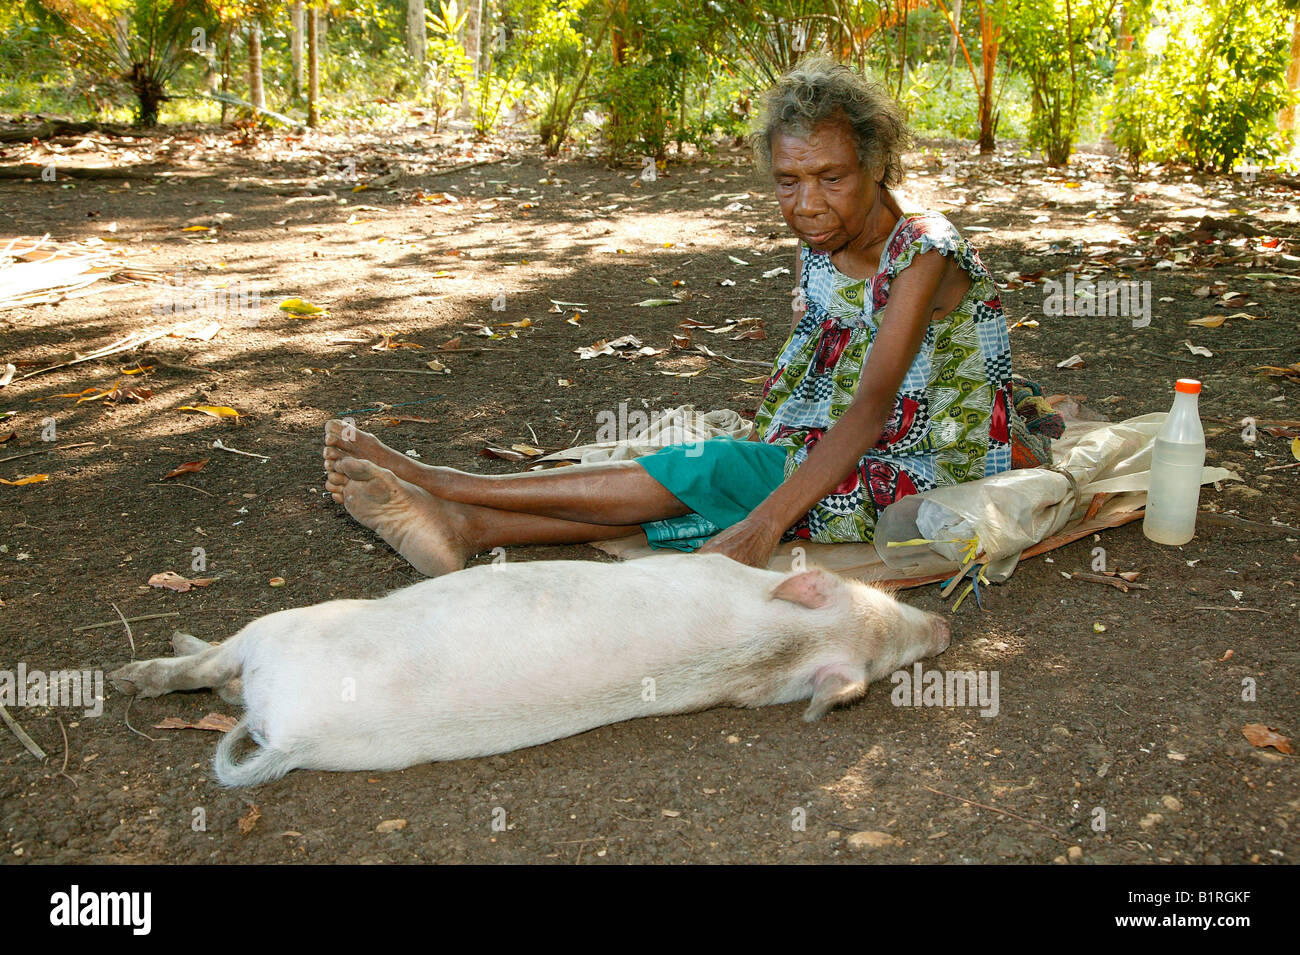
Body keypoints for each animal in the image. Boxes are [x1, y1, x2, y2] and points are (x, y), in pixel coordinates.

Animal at [109, 556, 946, 789]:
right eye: (875, 601)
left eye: (891, 656)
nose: (941, 627)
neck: (772, 643)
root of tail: (286, 735)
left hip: (286, 628)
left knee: (216, 662)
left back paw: (128, 673)